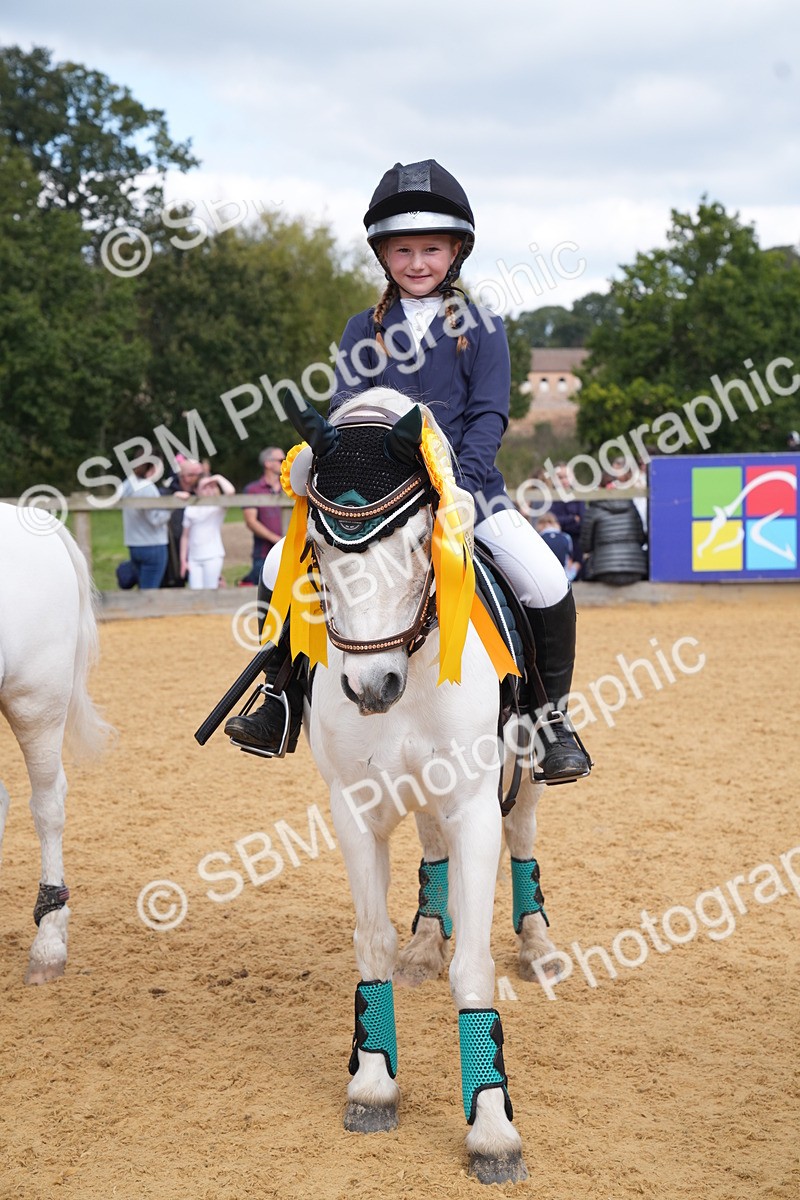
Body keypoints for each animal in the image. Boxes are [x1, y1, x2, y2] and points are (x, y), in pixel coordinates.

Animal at [271, 389, 559, 1183]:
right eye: (321, 550)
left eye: (415, 543)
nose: (374, 688)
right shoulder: (353, 809)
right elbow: (371, 942)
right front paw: (372, 1083)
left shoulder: (474, 807)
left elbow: (476, 965)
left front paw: (492, 1128)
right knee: (430, 851)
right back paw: (426, 942)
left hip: (526, 772)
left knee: (525, 836)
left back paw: (538, 942)